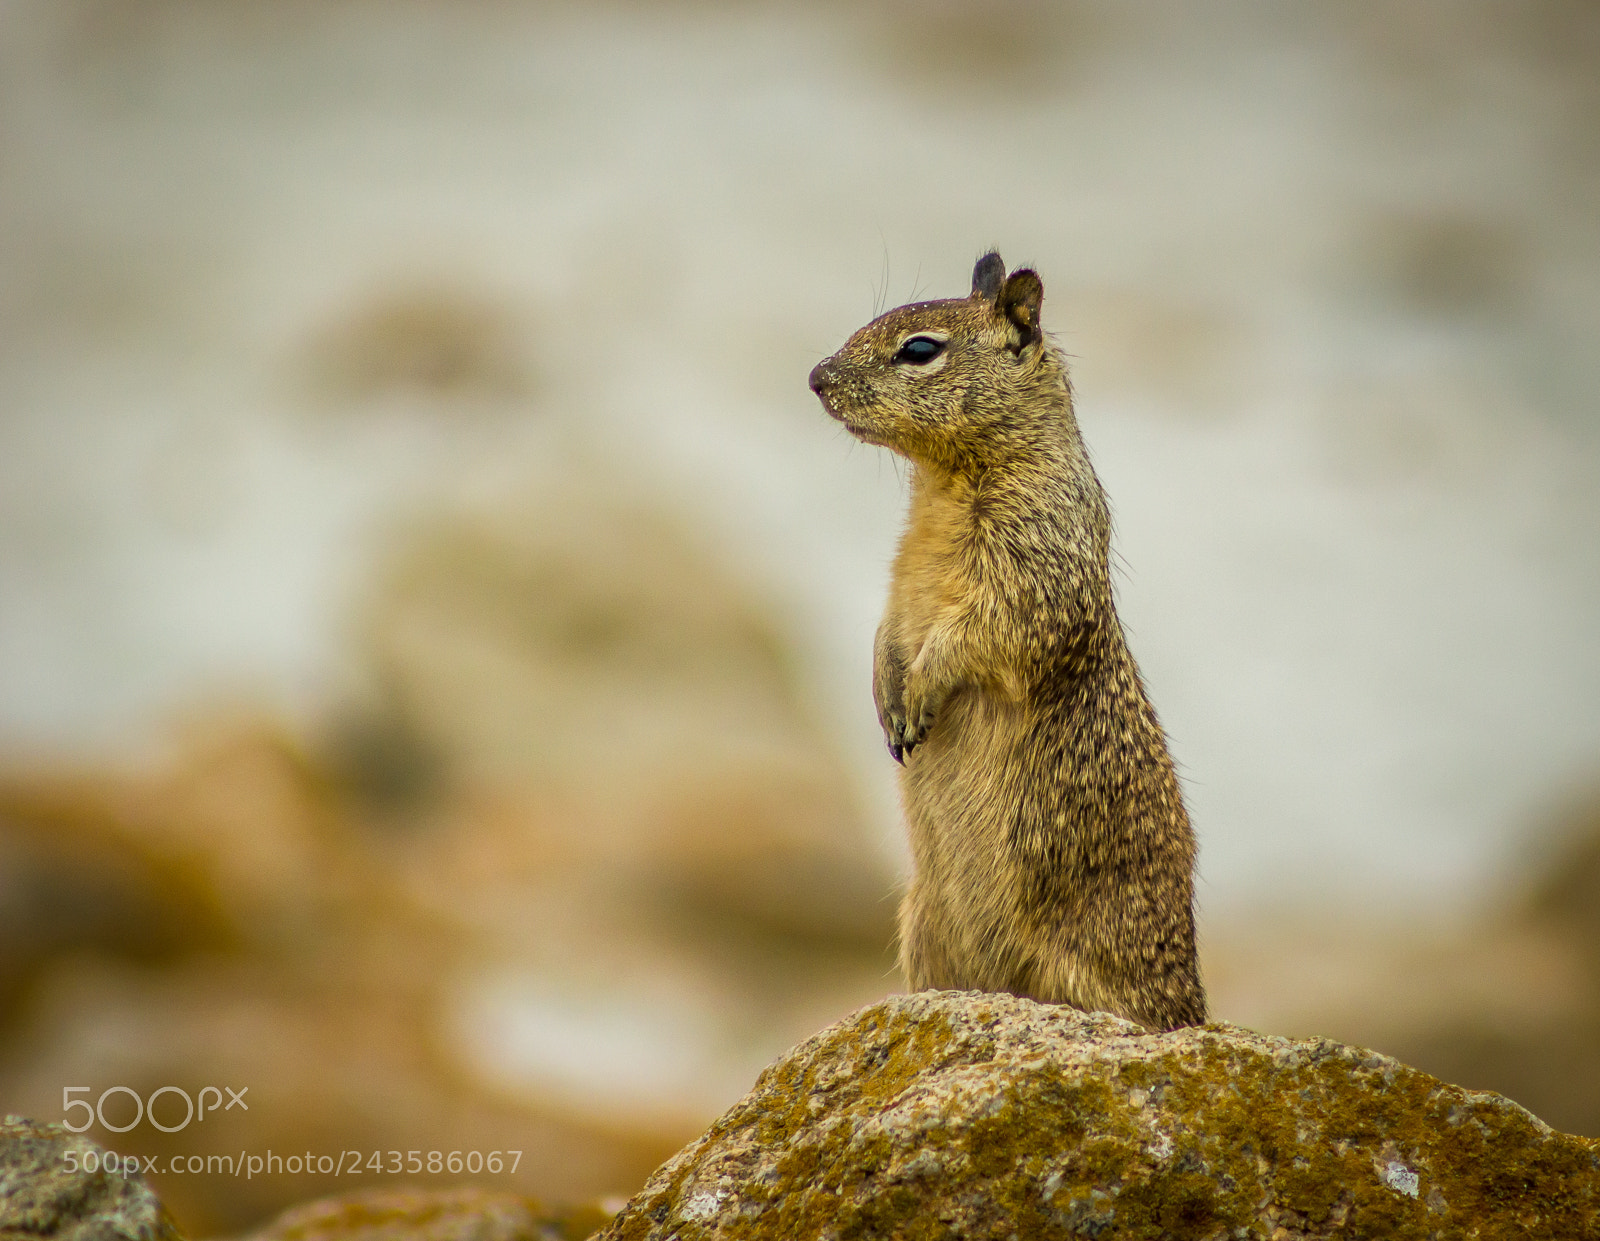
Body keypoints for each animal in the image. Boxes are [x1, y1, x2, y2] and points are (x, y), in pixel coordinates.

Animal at [808, 252, 1207, 1032]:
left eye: (919, 350)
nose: (815, 377)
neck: (946, 479)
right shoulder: (901, 582)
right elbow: (887, 630)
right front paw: (887, 698)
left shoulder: (1030, 571)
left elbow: (978, 635)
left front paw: (920, 693)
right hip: (923, 928)